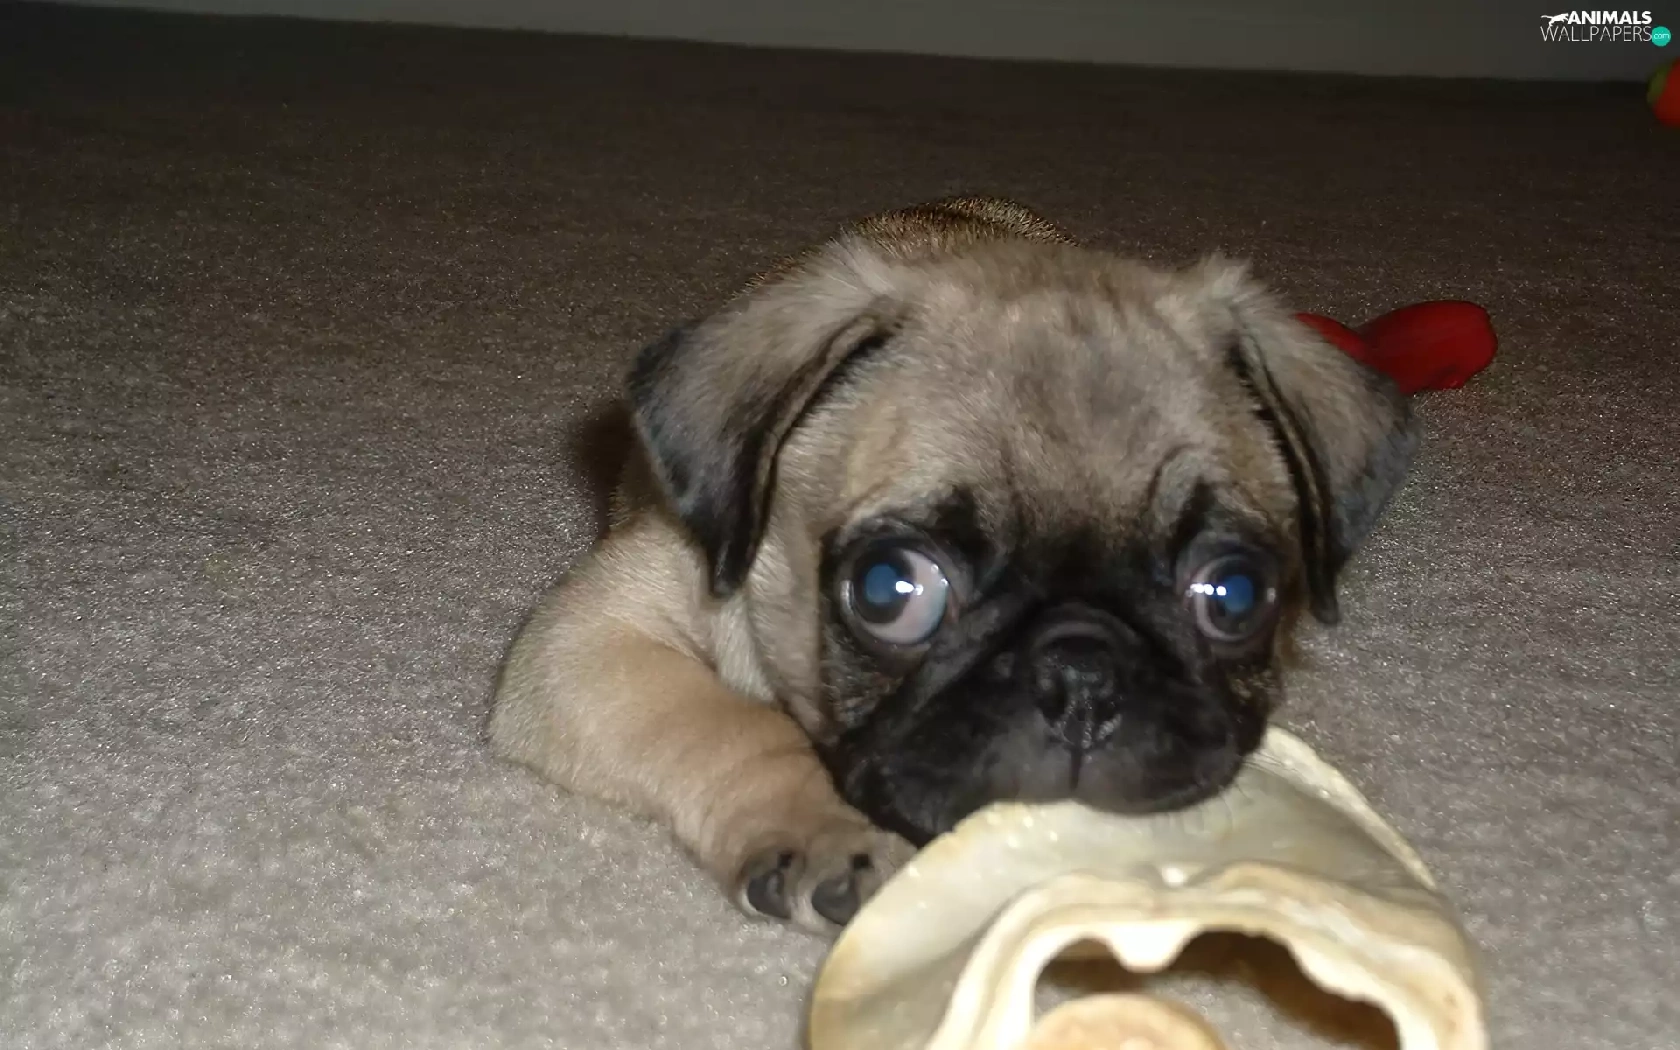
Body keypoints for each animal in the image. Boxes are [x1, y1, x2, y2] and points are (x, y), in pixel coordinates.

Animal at [489, 196, 1418, 933]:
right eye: (890, 591)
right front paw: (824, 827)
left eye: (1233, 596)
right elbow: (724, 722)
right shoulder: (592, 641)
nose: (1082, 675)